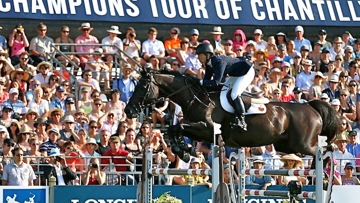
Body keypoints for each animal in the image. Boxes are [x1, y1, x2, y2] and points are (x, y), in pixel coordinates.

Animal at [125, 71, 342, 157]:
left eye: (142, 86)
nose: (128, 110)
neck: (197, 97)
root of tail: (311, 107)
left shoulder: (208, 129)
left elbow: (177, 126)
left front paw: (184, 151)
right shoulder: (200, 132)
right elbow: (174, 128)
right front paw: (184, 151)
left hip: (303, 144)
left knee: (325, 150)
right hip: (286, 145)